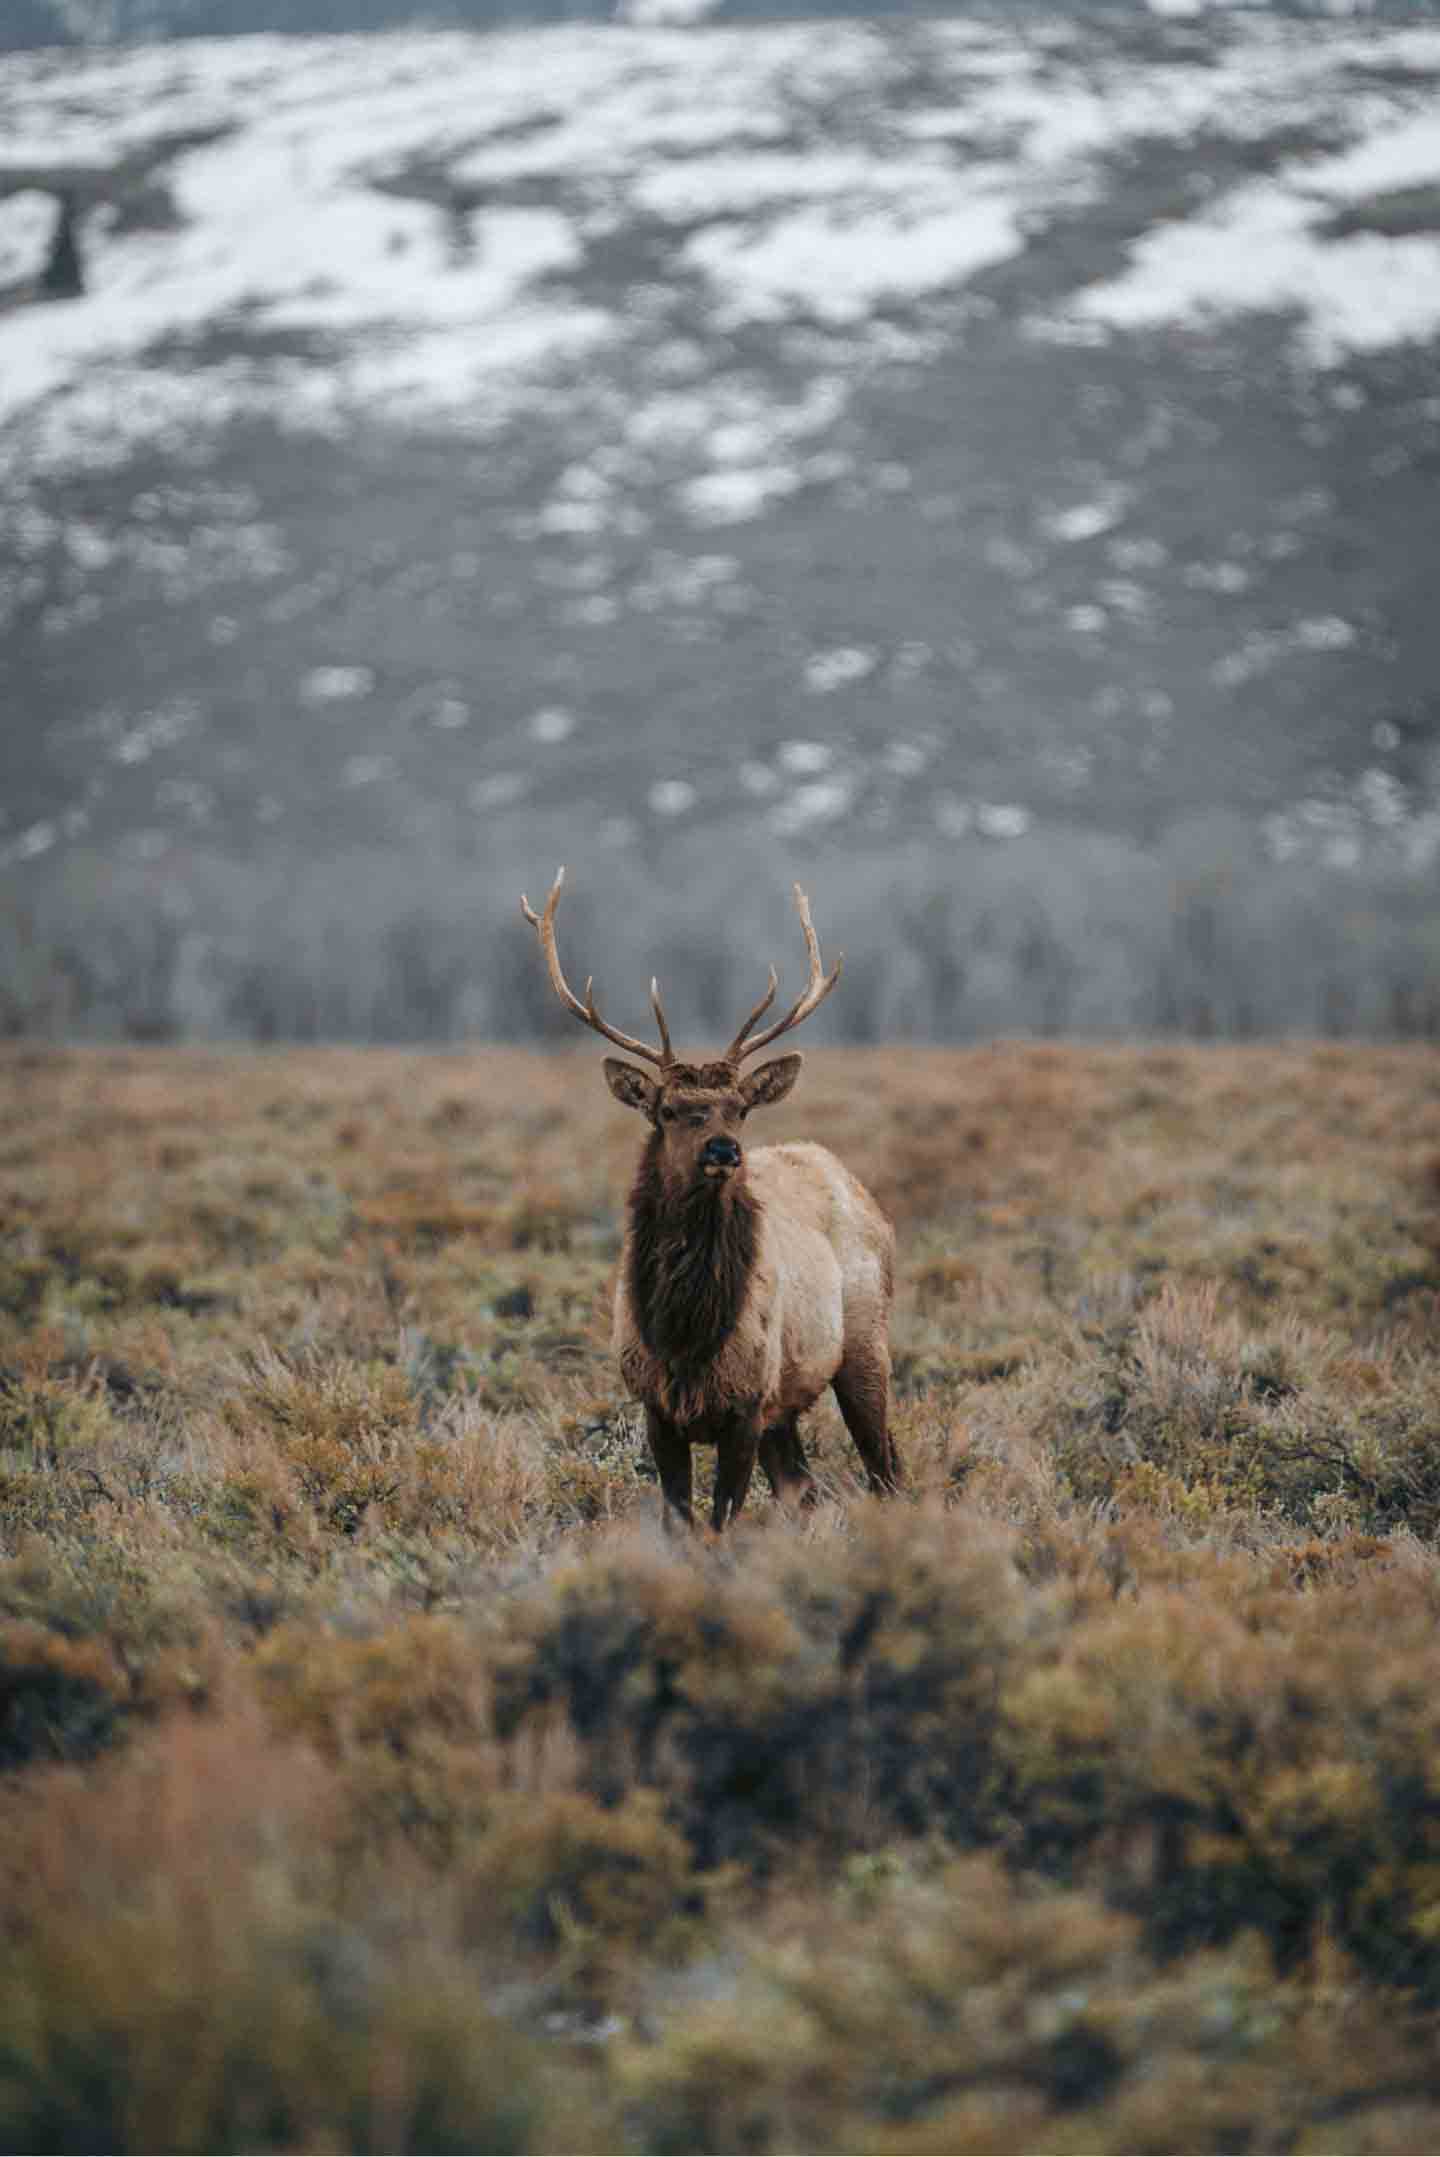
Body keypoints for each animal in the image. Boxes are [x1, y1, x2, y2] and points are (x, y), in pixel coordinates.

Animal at [520, 869, 900, 1530]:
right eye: (669, 1109)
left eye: (740, 1108)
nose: (725, 1150)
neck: (686, 1336)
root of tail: (855, 1184)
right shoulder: (656, 1407)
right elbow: (681, 1520)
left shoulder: (745, 1405)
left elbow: (720, 1522)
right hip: (788, 1402)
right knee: (803, 1489)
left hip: (864, 1342)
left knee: (887, 1471)